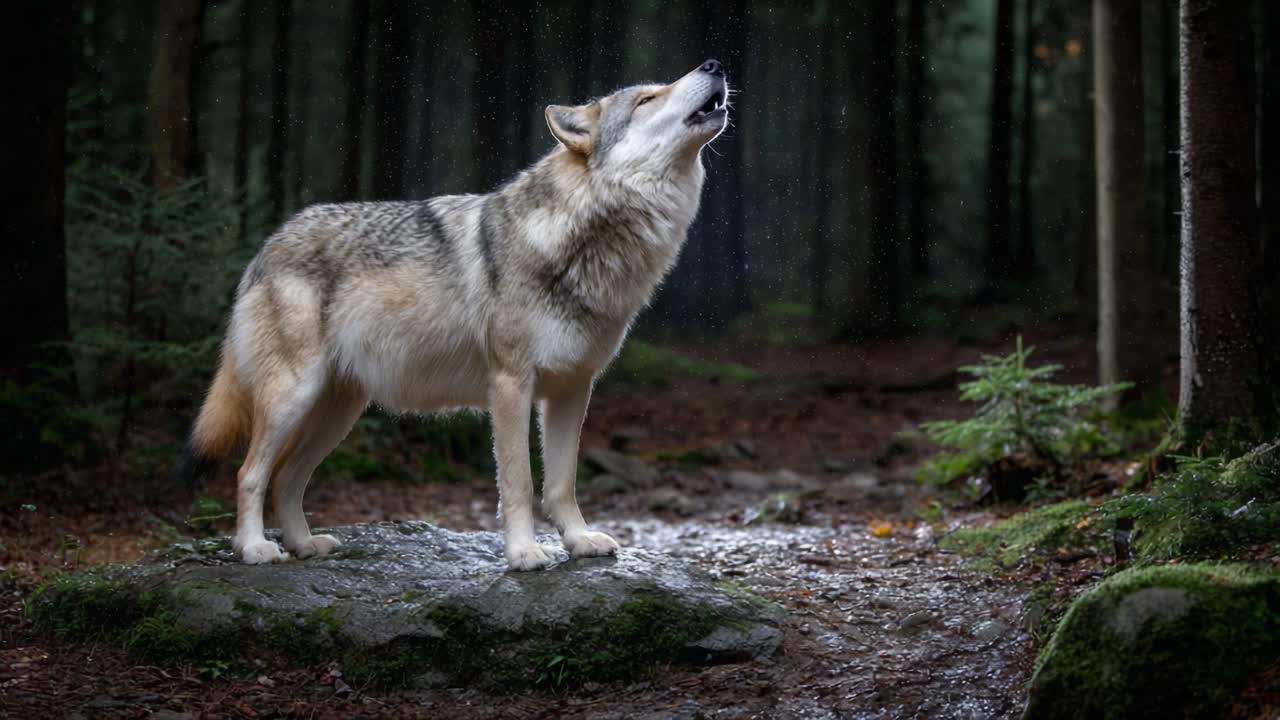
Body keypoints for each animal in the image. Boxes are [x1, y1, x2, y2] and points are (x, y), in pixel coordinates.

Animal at [181, 60, 730, 570]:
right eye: (646, 99)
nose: (713, 65)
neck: (583, 241)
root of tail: (268, 244)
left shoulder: (572, 389)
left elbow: (562, 483)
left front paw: (578, 541)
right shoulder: (510, 384)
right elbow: (518, 480)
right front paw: (524, 553)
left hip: (337, 411)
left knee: (287, 478)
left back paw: (303, 545)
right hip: (294, 397)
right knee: (250, 474)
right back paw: (255, 548)